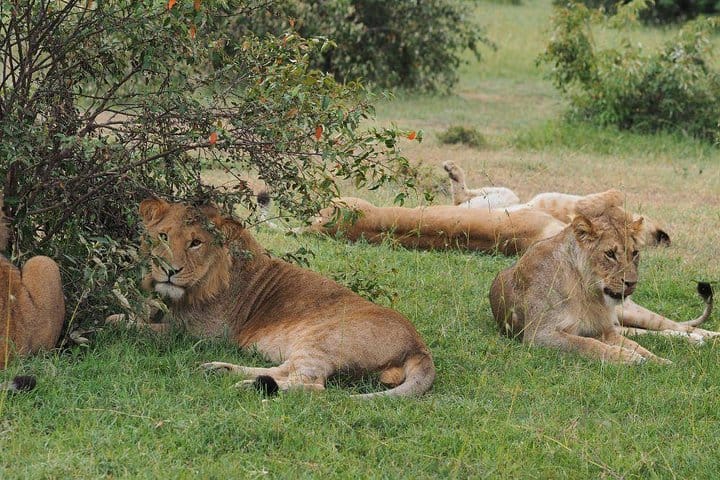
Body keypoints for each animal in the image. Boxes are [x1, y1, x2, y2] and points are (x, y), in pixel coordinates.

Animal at [128, 198, 435, 398]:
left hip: (322, 341)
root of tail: (419, 346)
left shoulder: (197, 335)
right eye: (163, 236)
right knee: (282, 370)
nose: (169, 271)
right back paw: (219, 370)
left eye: (195, 243)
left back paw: (249, 386)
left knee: (311, 384)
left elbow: (129, 325)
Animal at [442, 161, 670, 247]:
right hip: (507, 197)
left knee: (459, 200)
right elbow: (618, 193)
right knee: (461, 198)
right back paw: (452, 169)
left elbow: (615, 194)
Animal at [489, 190, 717, 364]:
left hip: (630, 311)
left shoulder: (605, 331)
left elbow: (637, 346)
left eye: (635, 253)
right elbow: (587, 344)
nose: (631, 283)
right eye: (610, 254)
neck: (587, 290)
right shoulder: (541, 334)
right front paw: (630, 358)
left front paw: (658, 361)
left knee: (671, 324)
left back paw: (707, 337)